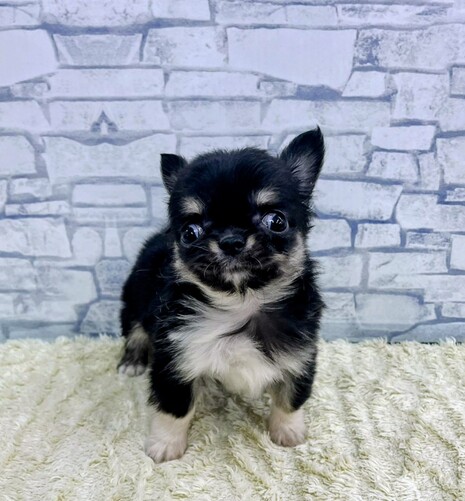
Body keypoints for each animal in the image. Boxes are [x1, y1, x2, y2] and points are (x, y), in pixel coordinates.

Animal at [118, 128, 325, 463]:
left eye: (276, 221)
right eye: (190, 232)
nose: (231, 240)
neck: (241, 302)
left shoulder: (301, 355)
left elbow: (291, 398)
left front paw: (288, 432)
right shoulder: (174, 360)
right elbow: (175, 407)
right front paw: (165, 445)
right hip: (133, 300)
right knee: (135, 330)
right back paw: (132, 361)